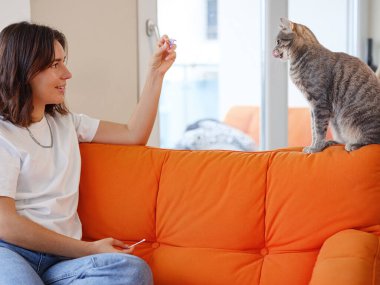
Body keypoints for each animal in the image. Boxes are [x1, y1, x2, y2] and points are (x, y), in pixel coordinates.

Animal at [274, 18, 380, 152]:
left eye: (278, 41)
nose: (273, 50)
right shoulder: (312, 107)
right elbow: (314, 129)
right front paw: (314, 145)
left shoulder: (319, 103)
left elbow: (319, 130)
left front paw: (315, 148)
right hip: (337, 124)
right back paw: (331, 142)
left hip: (351, 119)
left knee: (372, 140)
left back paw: (353, 144)